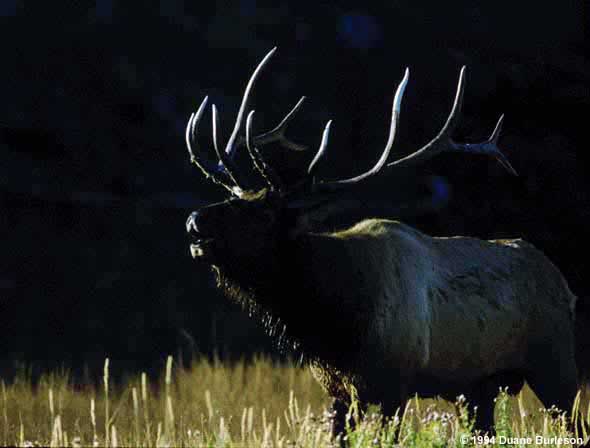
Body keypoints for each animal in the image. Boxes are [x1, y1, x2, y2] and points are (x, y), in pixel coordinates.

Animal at [183, 48, 588, 434]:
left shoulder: (394, 385)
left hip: (556, 366)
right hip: (476, 390)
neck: (334, 321)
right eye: (235, 199)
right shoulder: (339, 391)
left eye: (263, 213)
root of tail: (566, 287)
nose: (193, 221)